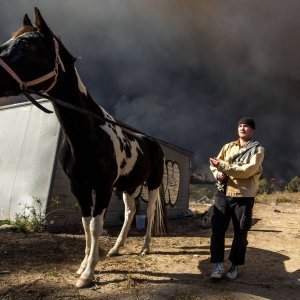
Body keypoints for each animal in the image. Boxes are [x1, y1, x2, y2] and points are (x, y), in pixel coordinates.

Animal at [0, 7, 166, 288]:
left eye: (27, 43)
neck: (88, 135)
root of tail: (153, 141)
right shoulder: (79, 186)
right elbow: (86, 224)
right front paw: (82, 266)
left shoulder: (102, 187)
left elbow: (97, 225)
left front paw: (89, 274)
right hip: (129, 186)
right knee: (130, 212)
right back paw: (116, 249)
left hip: (152, 184)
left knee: (151, 211)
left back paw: (145, 247)